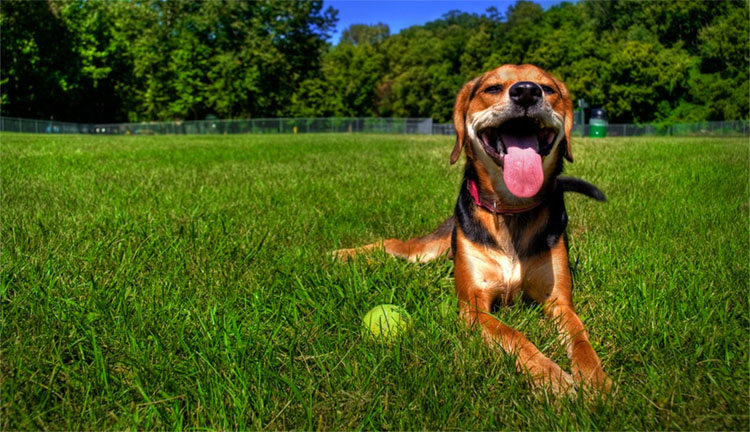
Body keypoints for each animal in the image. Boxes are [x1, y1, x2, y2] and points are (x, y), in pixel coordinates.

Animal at [338, 65, 612, 394]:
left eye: (548, 89)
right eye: (492, 88)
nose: (527, 92)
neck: (511, 208)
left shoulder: (558, 300)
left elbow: (580, 336)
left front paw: (594, 379)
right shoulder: (474, 305)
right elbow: (512, 334)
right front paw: (552, 377)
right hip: (427, 250)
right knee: (392, 244)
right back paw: (341, 254)